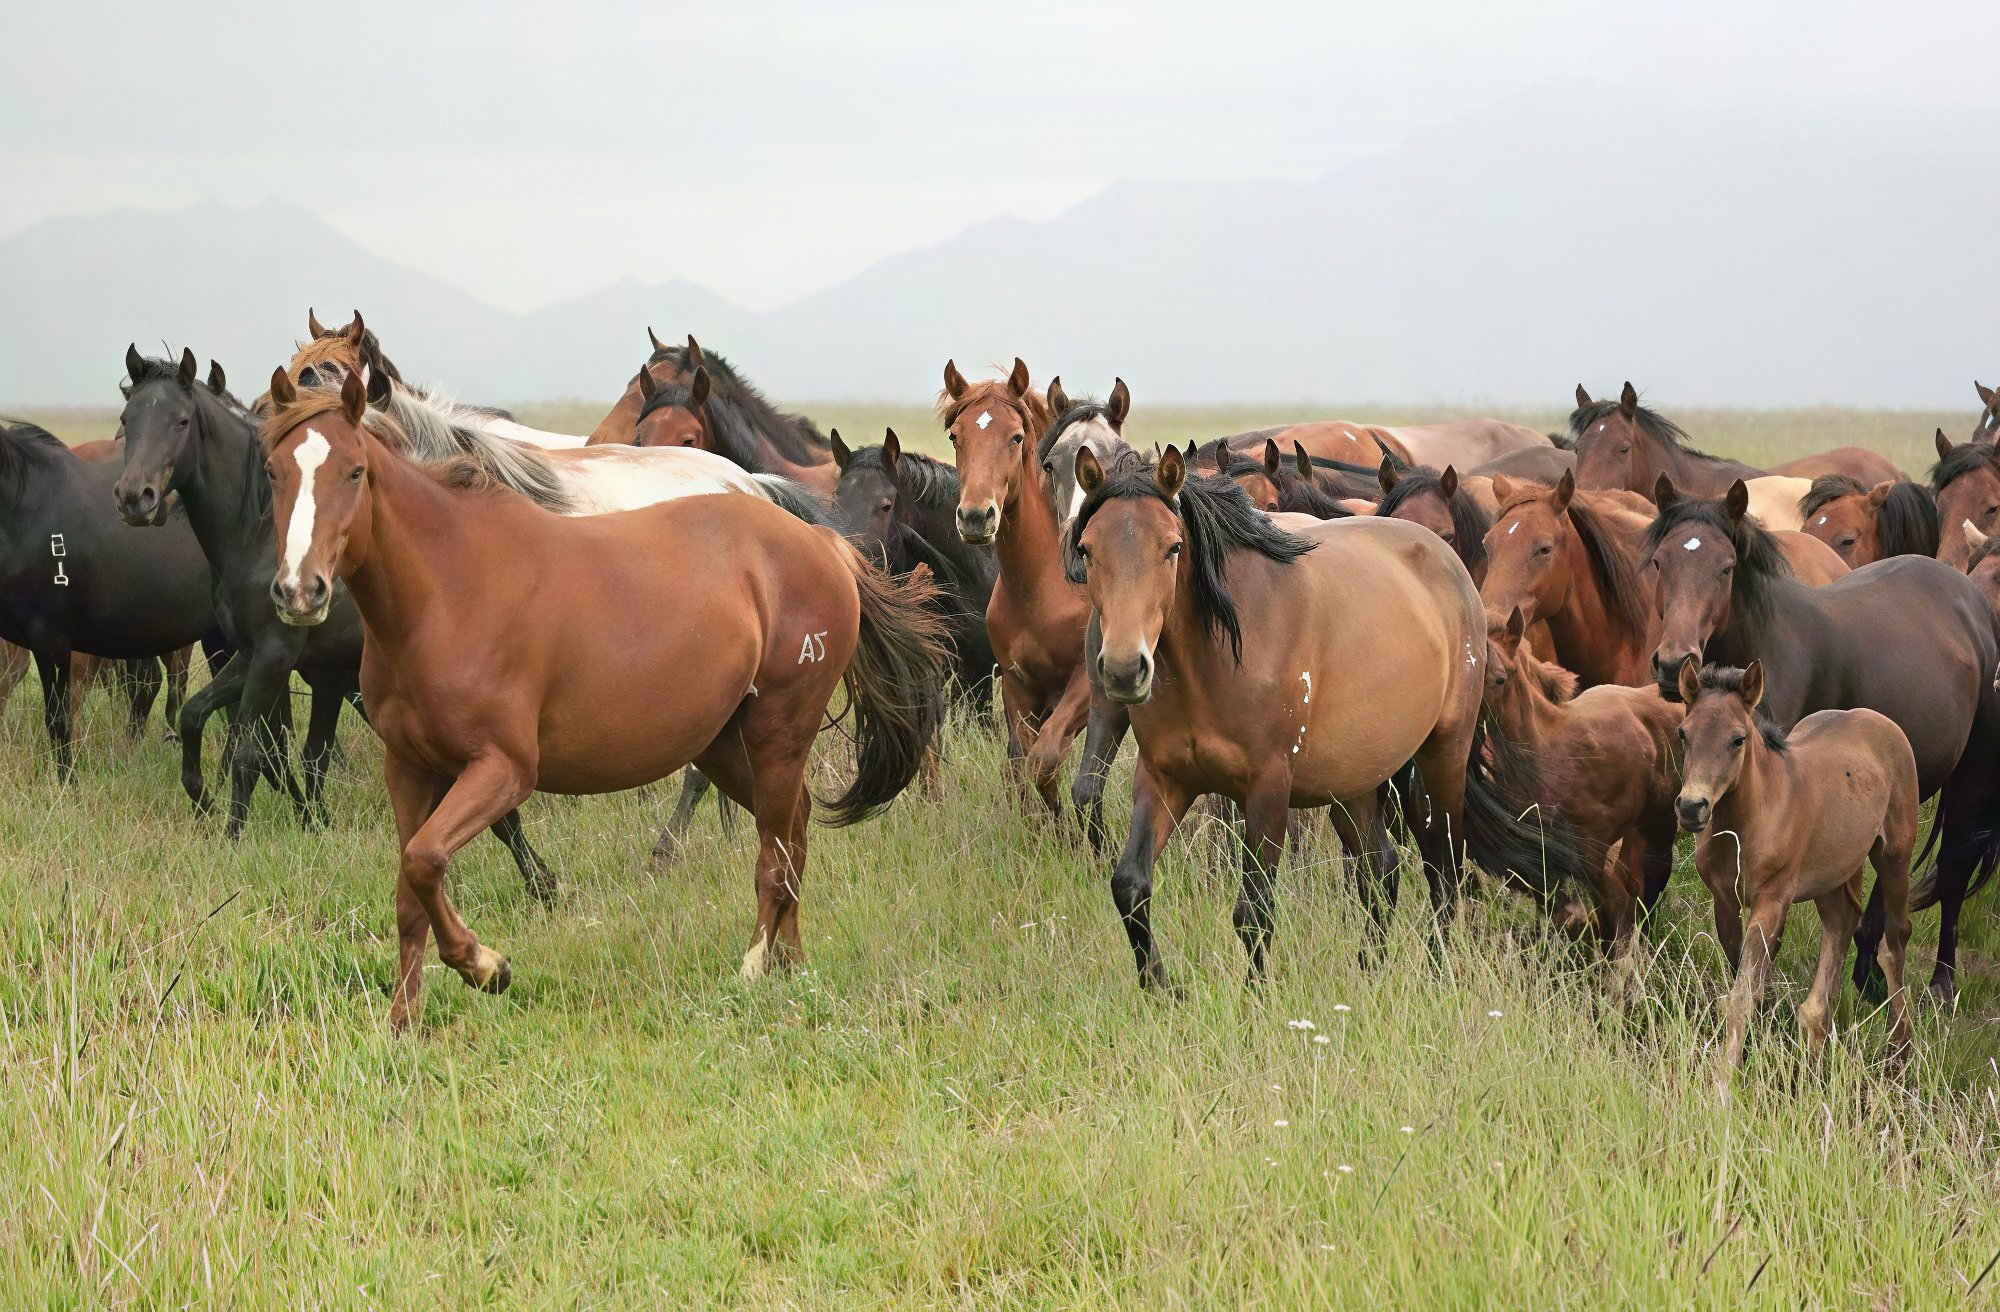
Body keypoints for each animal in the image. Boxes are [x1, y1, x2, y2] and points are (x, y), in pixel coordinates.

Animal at [260, 369, 945, 1030]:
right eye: (273, 470)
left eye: (354, 471)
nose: (299, 592)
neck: (448, 590)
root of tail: (822, 543)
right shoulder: (408, 768)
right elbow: (409, 888)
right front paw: (403, 1020)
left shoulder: (504, 770)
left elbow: (426, 861)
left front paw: (486, 966)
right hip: (723, 743)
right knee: (793, 828)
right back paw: (791, 964)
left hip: (779, 733)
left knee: (774, 854)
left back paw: (755, 967)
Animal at [1069, 446, 1585, 987]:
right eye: (1086, 549)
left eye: (1171, 547)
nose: (1124, 668)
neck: (1215, 657)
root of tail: (1454, 568)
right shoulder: (1164, 778)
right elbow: (1130, 887)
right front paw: (1162, 990)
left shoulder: (1268, 788)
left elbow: (1254, 912)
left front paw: (1254, 998)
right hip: (1353, 779)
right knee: (1381, 869)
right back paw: (1370, 972)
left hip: (1444, 755)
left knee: (1444, 870)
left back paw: (1433, 971)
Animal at [1484, 607, 1682, 988]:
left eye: (1500, 678)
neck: (1549, 753)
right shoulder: (1533, 854)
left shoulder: (1593, 849)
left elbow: (1614, 909)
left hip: (1658, 826)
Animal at [1673, 659, 1916, 1077]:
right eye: (1683, 734)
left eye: (1738, 739)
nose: (1692, 807)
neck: (1749, 820)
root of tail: (1879, 720)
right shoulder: (1725, 901)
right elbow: (1744, 982)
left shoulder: (1772, 900)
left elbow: (1742, 994)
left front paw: (1724, 1080)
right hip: (1833, 873)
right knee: (1841, 921)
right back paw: (1817, 1043)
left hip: (1895, 855)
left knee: (1895, 938)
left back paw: (1899, 1050)